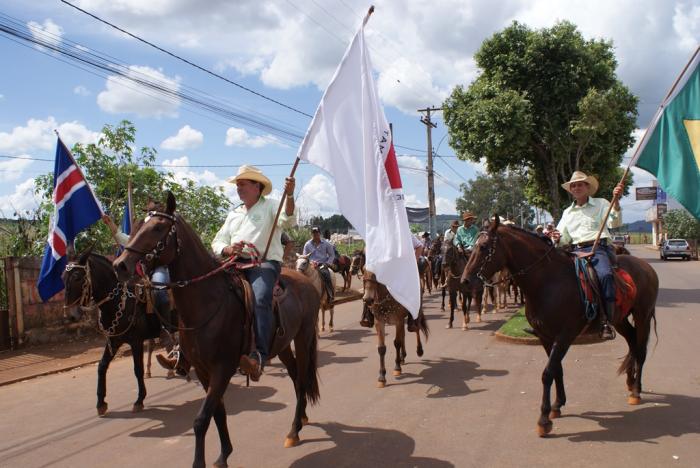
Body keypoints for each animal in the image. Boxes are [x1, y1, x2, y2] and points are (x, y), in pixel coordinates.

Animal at [60, 249, 162, 416]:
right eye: (62, 277)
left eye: (77, 277)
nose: (70, 315)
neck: (119, 302)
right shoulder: (113, 341)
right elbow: (102, 366)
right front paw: (100, 403)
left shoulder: (136, 342)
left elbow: (137, 369)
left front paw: (139, 399)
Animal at [113, 193, 322, 468]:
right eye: (136, 225)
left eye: (157, 228)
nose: (120, 265)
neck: (208, 302)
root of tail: (307, 282)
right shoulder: (203, 371)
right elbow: (218, 413)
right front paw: (224, 455)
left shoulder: (223, 368)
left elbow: (201, 420)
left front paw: (200, 462)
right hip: (284, 344)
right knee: (297, 379)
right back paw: (301, 422)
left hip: (303, 338)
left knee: (302, 379)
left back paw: (294, 431)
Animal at [462, 218, 660, 436]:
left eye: (483, 247)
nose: (465, 281)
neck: (548, 281)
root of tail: (646, 266)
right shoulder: (545, 337)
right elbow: (557, 369)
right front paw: (557, 405)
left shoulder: (564, 336)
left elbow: (548, 373)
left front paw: (543, 420)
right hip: (620, 319)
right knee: (632, 342)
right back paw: (630, 382)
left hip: (643, 316)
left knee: (640, 350)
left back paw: (636, 391)